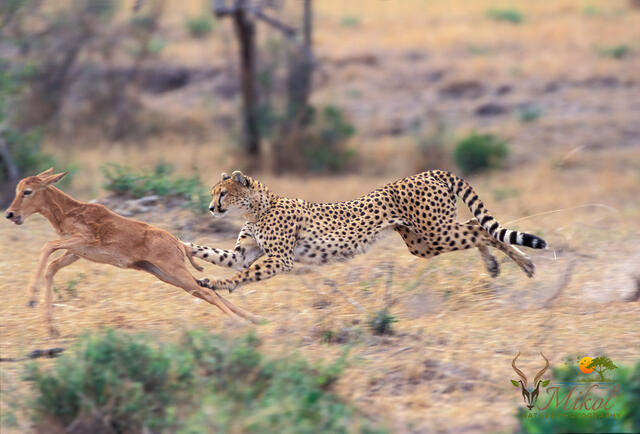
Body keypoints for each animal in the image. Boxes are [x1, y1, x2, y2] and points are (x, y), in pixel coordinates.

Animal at [187, 170, 547, 293]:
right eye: (213, 193)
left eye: (223, 194)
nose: (211, 208)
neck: (258, 206)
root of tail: (429, 172)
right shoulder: (244, 253)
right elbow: (217, 255)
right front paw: (186, 248)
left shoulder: (279, 259)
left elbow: (242, 274)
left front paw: (219, 285)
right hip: (424, 242)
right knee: (475, 226)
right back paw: (498, 266)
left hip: (434, 233)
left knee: (482, 231)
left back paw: (524, 265)